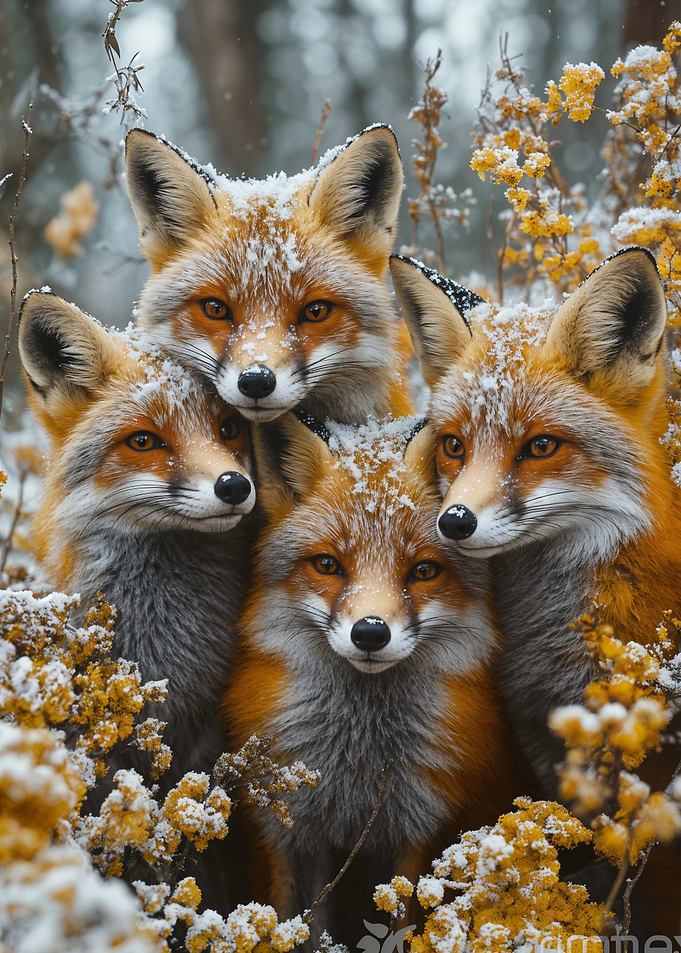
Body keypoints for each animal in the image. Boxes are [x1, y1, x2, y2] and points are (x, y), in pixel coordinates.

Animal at [223, 411, 530, 944]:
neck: (357, 767)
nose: (370, 632)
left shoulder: (422, 828)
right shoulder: (287, 830)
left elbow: (402, 925)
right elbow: (293, 922)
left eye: (424, 571)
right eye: (328, 564)